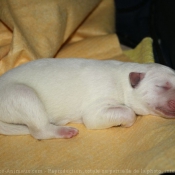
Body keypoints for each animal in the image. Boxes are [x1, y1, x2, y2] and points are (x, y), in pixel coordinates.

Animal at [0, 58, 174, 139]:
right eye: (162, 86)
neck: (124, 81)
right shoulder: (96, 109)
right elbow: (126, 112)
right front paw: (125, 122)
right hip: (21, 94)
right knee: (39, 130)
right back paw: (64, 131)